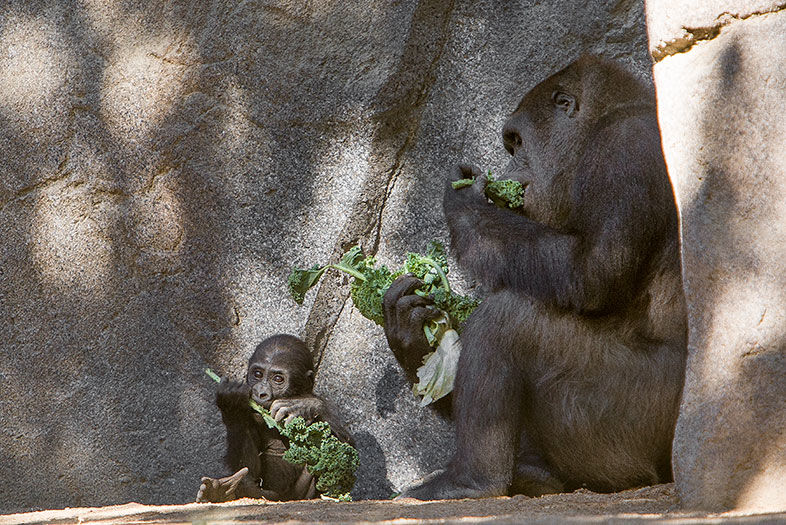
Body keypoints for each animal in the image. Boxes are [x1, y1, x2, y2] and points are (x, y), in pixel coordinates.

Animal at [196, 334, 352, 502]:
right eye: (258, 374)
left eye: (278, 379)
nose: (261, 393)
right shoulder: (251, 414)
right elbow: (249, 468)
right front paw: (231, 402)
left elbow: (344, 456)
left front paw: (304, 406)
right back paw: (223, 490)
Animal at [384, 56, 688, 500]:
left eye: (517, 142)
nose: (509, 167)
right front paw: (408, 331)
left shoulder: (623, 148)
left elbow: (592, 271)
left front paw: (465, 202)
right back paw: (532, 475)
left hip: (638, 425)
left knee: (508, 319)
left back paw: (472, 480)